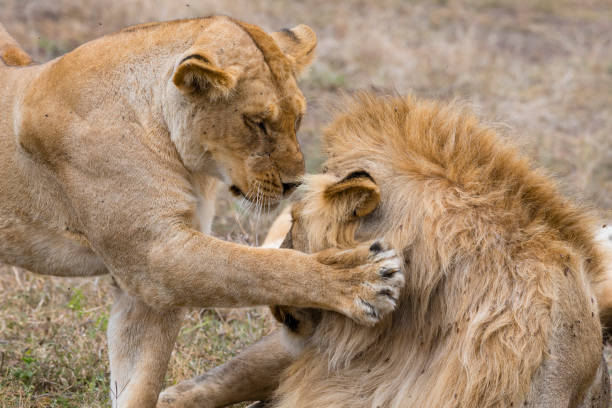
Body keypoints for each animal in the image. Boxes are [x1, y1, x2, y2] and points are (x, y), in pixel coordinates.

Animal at [1, 17, 406, 406]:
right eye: (257, 122)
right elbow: (260, 267)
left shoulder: (146, 292)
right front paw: (361, 277)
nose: (293, 184)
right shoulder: (153, 257)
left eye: (298, 119)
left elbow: (141, 384)